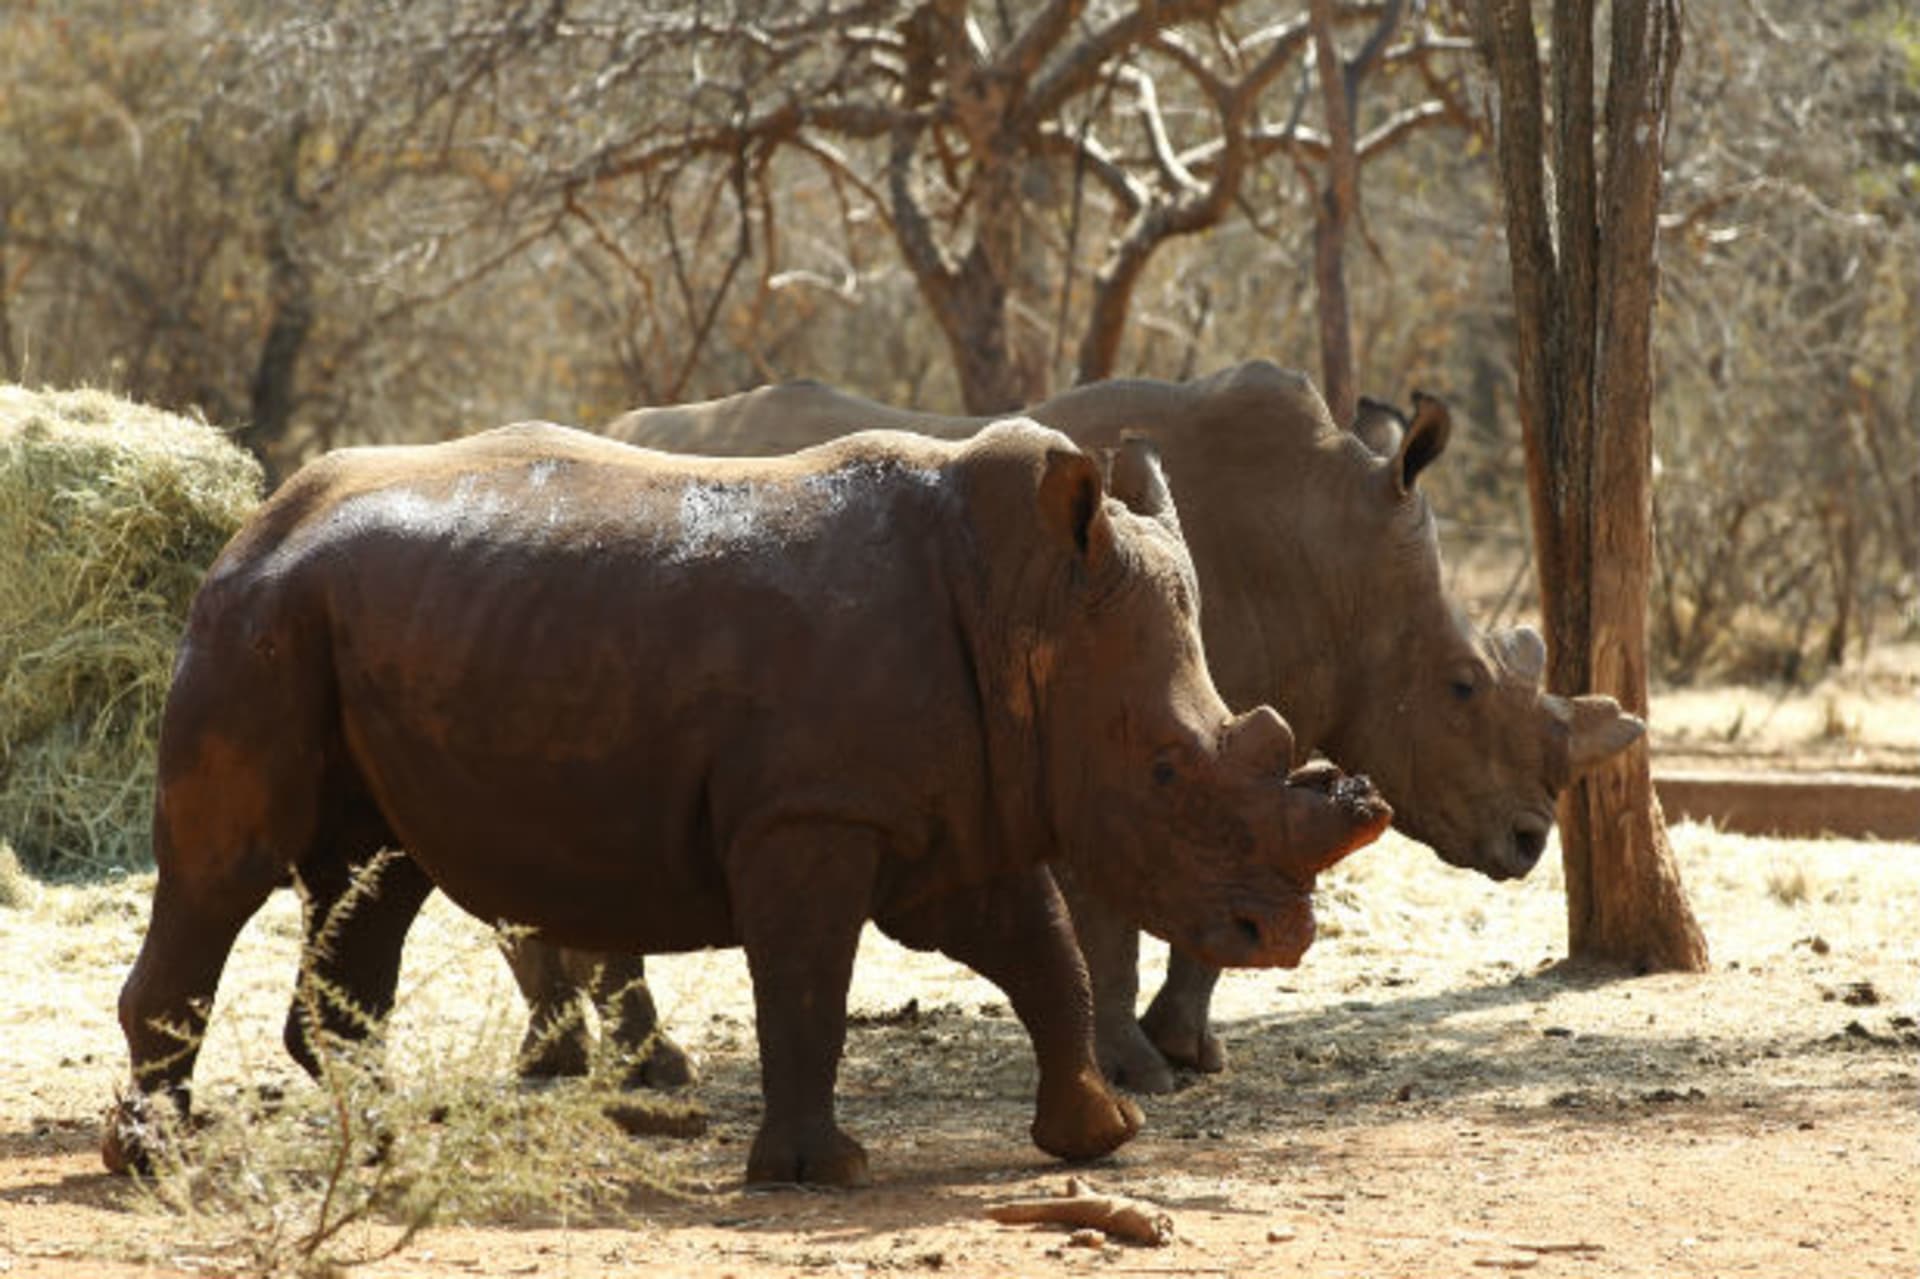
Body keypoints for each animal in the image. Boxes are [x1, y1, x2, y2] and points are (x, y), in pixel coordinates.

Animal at [105, 417, 1391, 1185]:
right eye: (1168, 773)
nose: (1278, 932)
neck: (1028, 609)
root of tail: (251, 522)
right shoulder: (813, 813)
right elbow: (809, 985)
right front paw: (825, 1170)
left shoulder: (963, 804)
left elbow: (1046, 957)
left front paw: (1100, 1138)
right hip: (258, 625)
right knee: (225, 869)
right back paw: (152, 1163)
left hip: (360, 624)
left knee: (374, 877)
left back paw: (379, 1145)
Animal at [515, 362, 1643, 1094]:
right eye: (1463, 686)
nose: (1529, 841)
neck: (1330, 563)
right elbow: (1110, 920)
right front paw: (1140, 1068)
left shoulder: (1213, 748)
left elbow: (1212, 898)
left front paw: (1187, 1054)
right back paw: (639, 1068)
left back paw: (577, 1059)